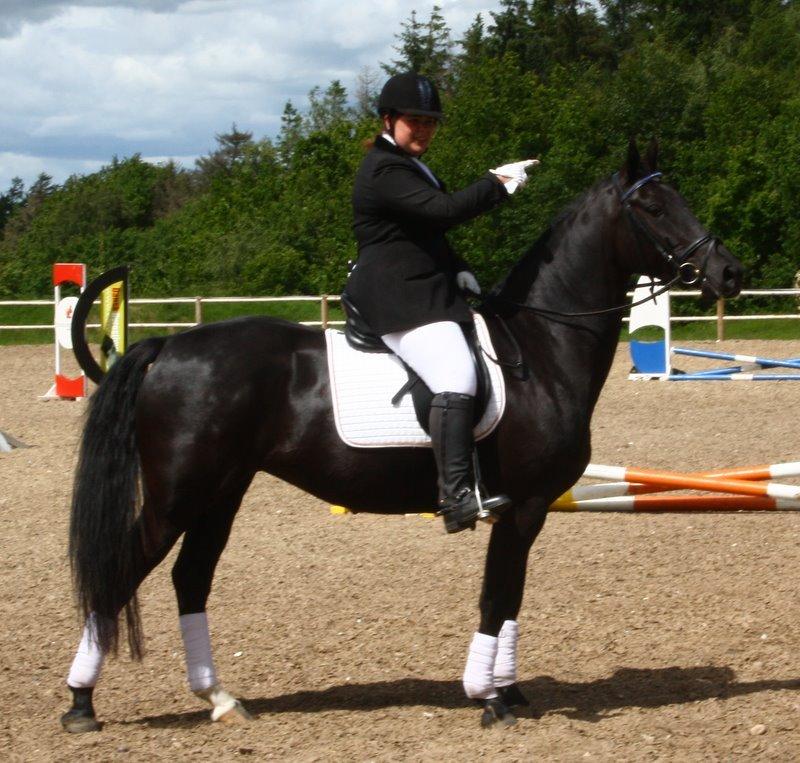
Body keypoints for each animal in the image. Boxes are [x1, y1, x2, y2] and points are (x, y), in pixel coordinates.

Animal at [62, 140, 744, 732]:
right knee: (123, 571)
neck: (542, 347)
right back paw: (80, 702)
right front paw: (489, 697)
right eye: (653, 206)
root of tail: (169, 347)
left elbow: (512, 599)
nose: (730, 272)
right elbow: (497, 597)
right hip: (179, 496)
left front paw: (509, 689)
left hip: (220, 494)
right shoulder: (521, 507)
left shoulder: (530, 512)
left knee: (190, 579)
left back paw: (221, 700)